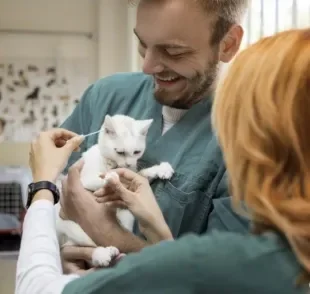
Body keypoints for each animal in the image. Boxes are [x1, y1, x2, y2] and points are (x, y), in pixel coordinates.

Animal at [54, 114, 173, 268]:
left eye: (136, 152)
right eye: (120, 152)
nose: (128, 163)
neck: (111, 163)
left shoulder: (132, 174)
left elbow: (141, 175)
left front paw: (161, 169)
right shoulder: (85, 179)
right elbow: (104, 178)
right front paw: (112, 178)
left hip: (127, 216)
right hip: (70, 227)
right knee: (78, 246)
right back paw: (102, 255)